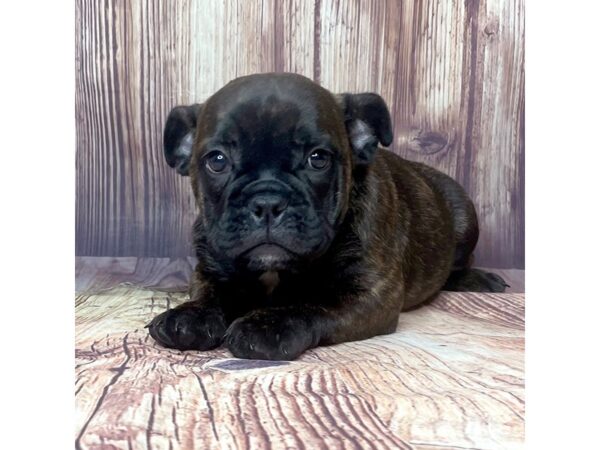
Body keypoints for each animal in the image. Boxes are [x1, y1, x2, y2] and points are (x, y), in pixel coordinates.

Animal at [146, 74, 506, 362]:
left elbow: (313, 304)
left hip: (464, 217)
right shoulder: (209, 270)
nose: (267, 202)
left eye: (317, 159)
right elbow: (212, 293)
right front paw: (189, 315)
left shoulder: (371, 293)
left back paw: (477, 279)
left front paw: (268, 324)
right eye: (217, 161)